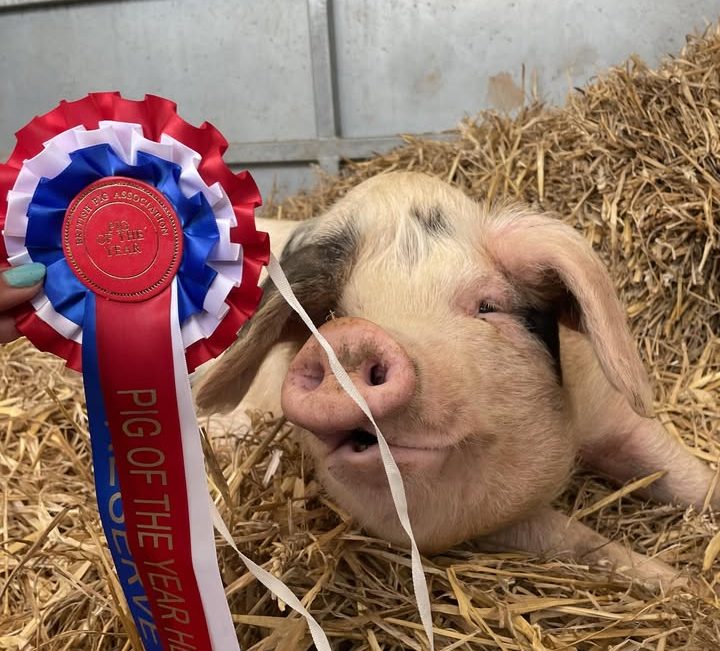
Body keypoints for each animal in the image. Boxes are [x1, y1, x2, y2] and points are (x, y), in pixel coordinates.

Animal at [195, 171, 719, 590]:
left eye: (488, 306)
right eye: (328, 319)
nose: (350, 338)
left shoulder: (612, 411)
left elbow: (684, 473)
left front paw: (690, 586)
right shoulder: (491, 526)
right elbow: (582, 541)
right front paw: (685, 586)